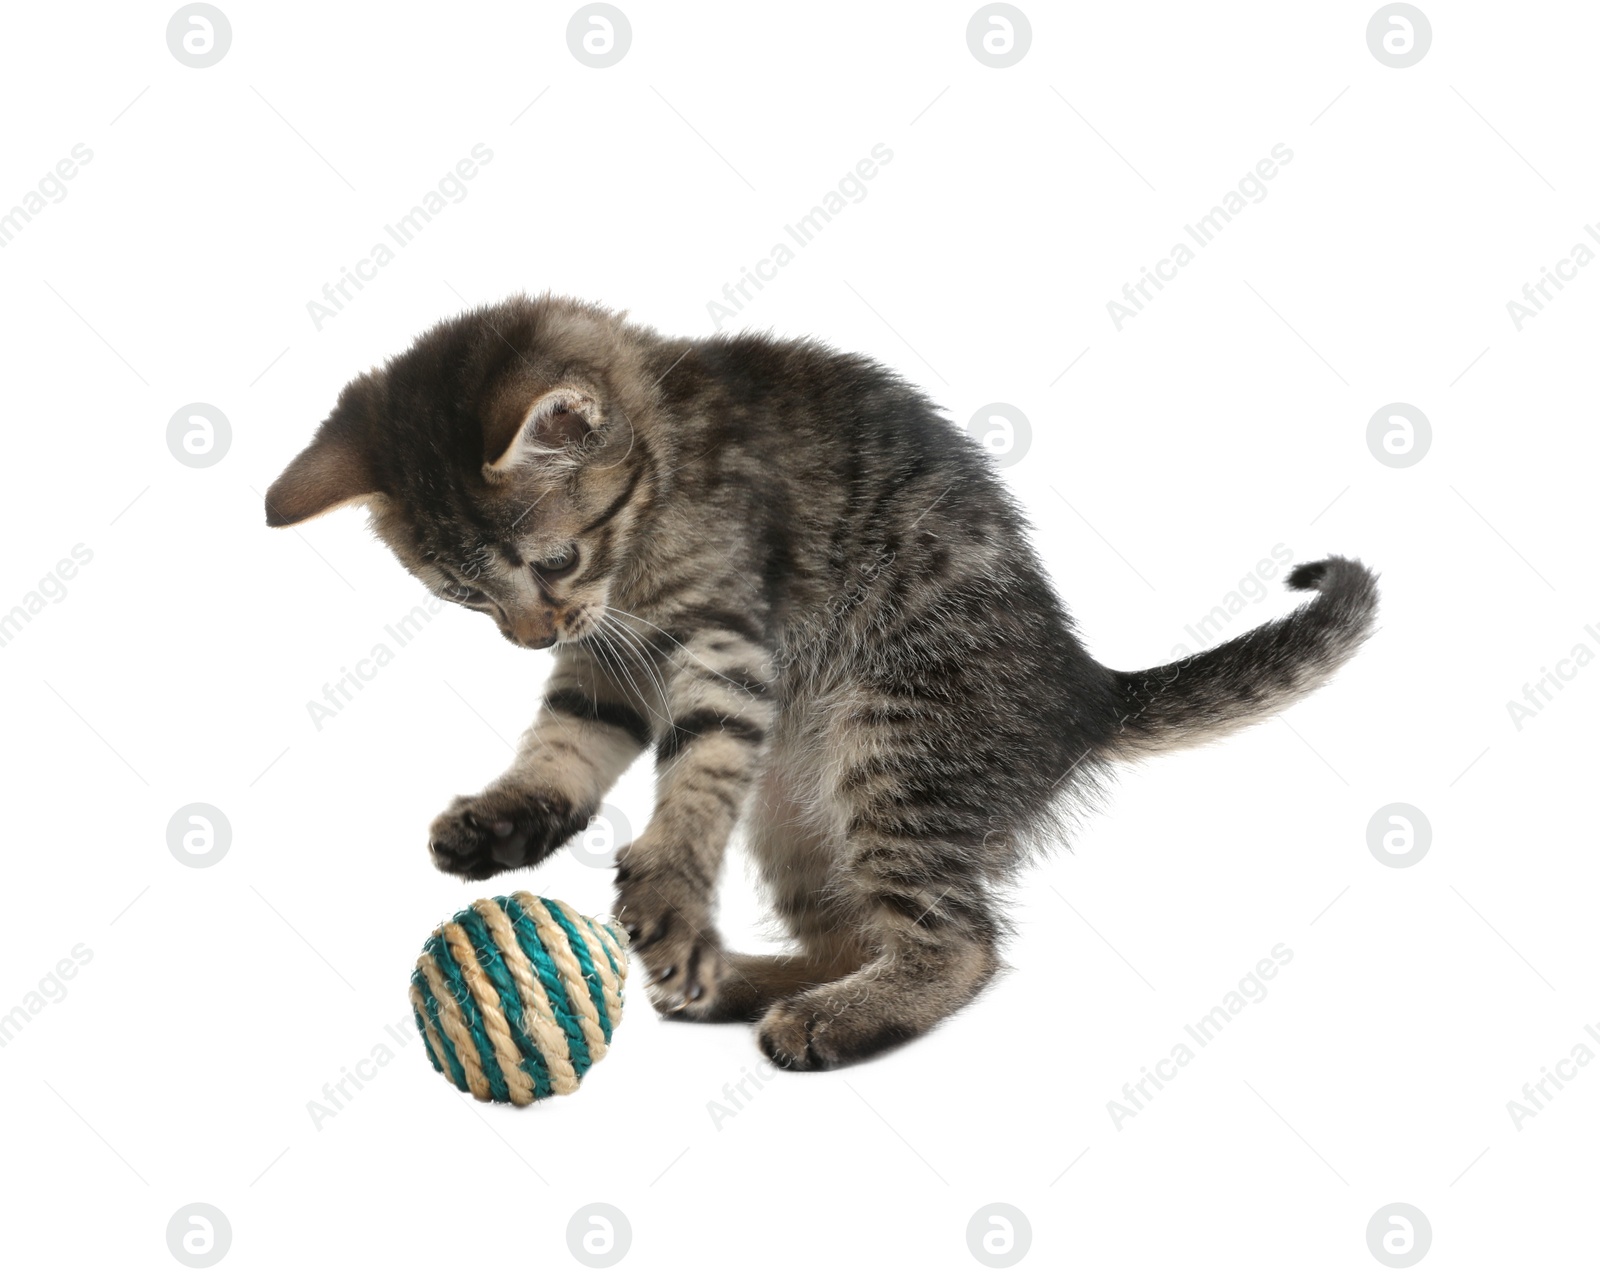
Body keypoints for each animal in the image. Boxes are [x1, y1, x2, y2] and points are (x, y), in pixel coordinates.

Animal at [262, 292, 1376, 1068]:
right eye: (462, 594)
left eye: (554, 561)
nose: (529, 637)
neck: (664, 460)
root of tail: (1086, 689)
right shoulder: (609, 656)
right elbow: (568, 734)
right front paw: (512, 811)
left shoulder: (725, 642)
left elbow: (697, 765)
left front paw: (669, 885)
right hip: (799, 807)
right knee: (852, 929)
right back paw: (738, 980)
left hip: (895, 741)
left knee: (960, 942)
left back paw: (833, 1016)